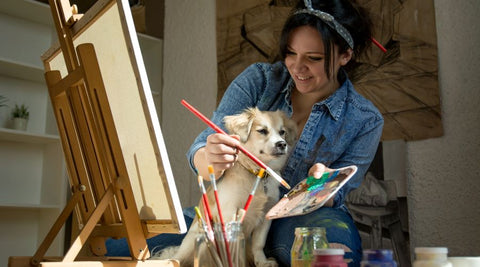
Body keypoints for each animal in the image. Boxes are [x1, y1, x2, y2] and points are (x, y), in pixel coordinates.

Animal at [159, 108, 298, 266]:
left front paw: (262, 262)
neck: (256, 173)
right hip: (195, 240)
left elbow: (258, 244)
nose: (282, 144)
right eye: (262, 131)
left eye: (282, 132)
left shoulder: (266, 216)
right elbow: (232, 246)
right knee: (180, 259)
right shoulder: (229, 213)